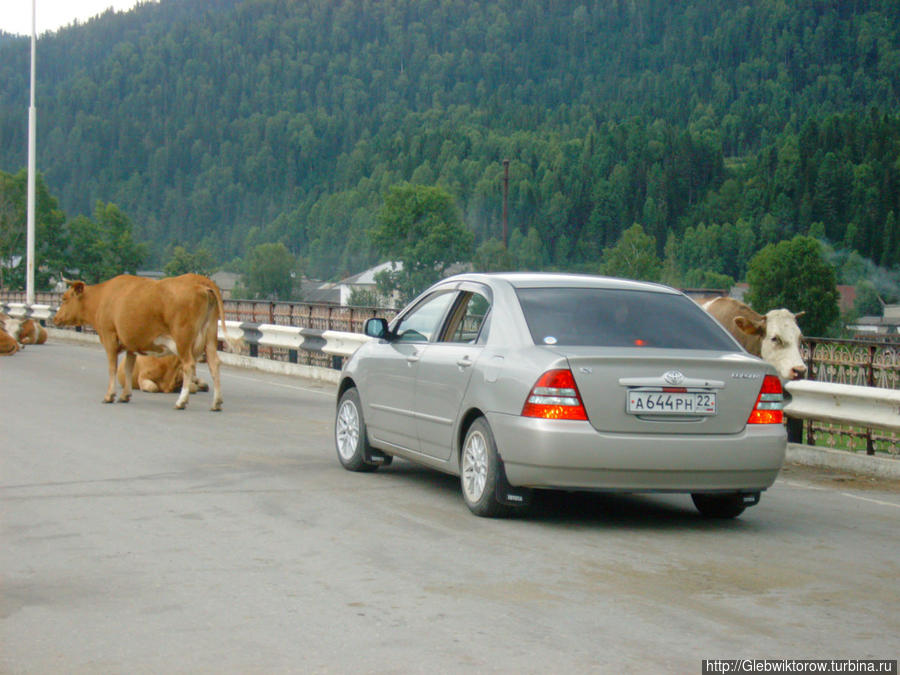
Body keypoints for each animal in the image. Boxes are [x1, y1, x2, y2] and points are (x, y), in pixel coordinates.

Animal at [53, 272, 239, 410]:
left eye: (65, 298)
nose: (55, 318)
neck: (102, 298)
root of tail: (199, 279)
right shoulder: (130, 344)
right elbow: (128, 368)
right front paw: (125, 395)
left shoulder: (109, 337)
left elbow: (112, 368)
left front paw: (109, 396)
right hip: (210, 336)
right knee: (214, 363)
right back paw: (216, 403)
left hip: (183, 339)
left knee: (189, 365)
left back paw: (181, 401)